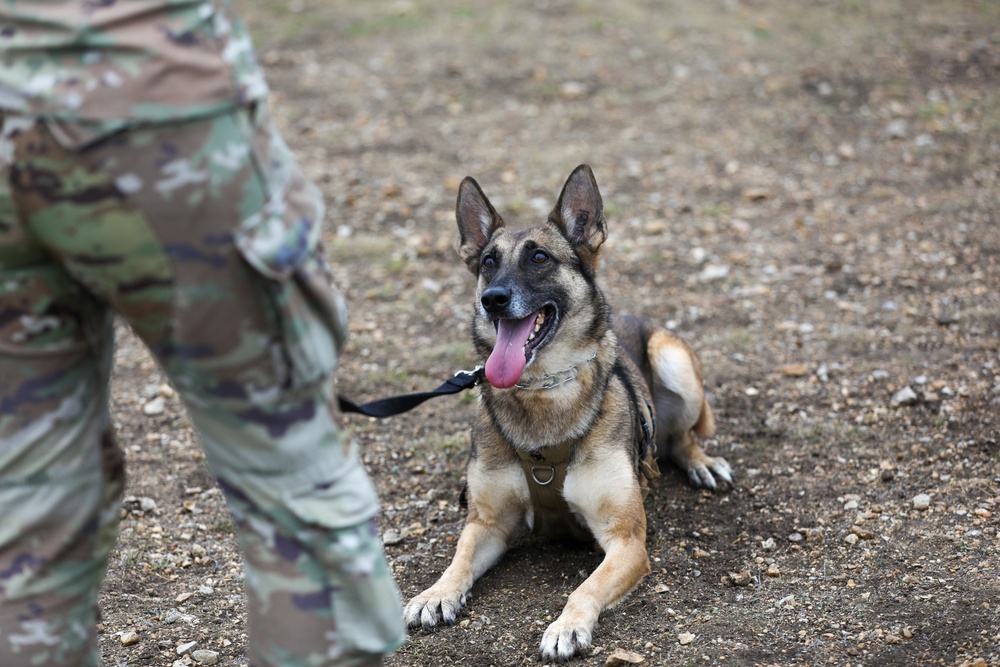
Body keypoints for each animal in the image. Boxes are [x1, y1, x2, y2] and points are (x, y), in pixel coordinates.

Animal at [402, 164, 732, 660]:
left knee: (681, 437)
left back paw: (702, 463)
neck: (542, 392)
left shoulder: (627, 540)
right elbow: (458, 561)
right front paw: (435, 593)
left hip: (671, 357)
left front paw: (566, 626)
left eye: (539, 258)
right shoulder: (486, 523)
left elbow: (584, 588)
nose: (492, 298)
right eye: (488, 262)